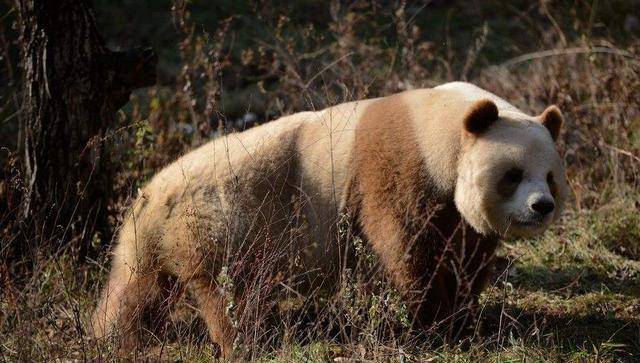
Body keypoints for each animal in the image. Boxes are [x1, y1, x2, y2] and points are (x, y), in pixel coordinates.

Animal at [91, 81, 568, 356]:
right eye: (512, 174)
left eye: (550, 176)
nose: (541, 206)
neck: (441, 126)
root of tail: (154, 196)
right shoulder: (398, 167)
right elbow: (407, 247)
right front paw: (429, 324)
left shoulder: (454, 207)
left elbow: (464, 254)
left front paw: (463, 318)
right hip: (221, 219)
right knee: (228, 291)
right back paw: (249, 341)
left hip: (151, 239)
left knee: (137, 288)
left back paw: (114, 337)